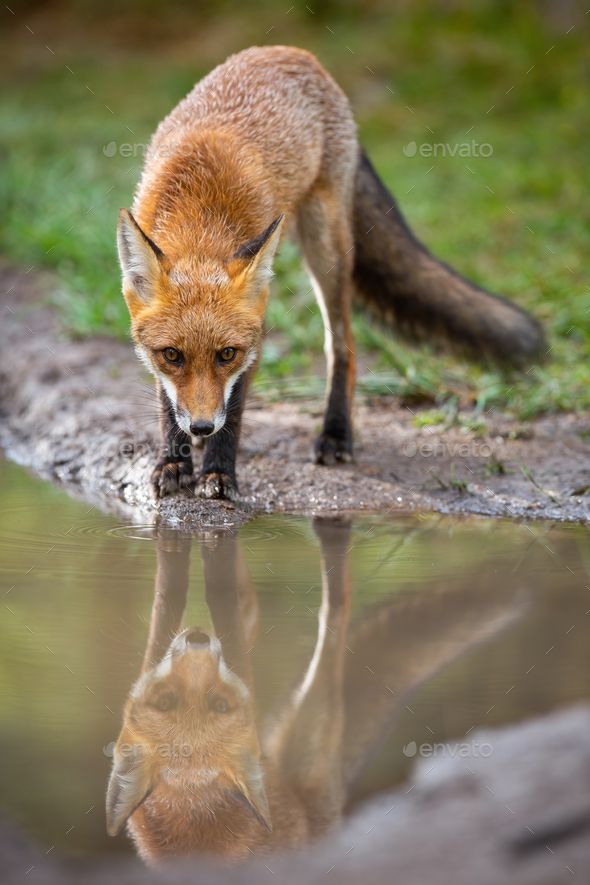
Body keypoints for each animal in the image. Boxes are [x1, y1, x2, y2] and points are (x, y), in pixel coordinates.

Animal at [118, 48, 548, 500]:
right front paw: (173, 461)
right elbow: (168, 405)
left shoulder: (254, 332)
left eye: (227, 354)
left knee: (343, 345)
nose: (202, 426)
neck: (199, 217)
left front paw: (219, 472)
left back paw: (336, 434)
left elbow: (233, 412)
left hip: (327, 248)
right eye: (172, 355)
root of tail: (294, 53)